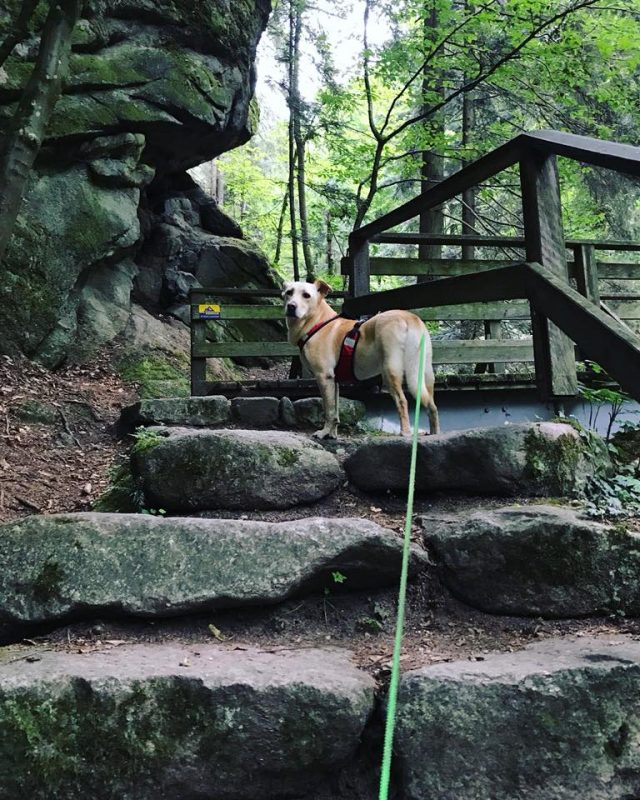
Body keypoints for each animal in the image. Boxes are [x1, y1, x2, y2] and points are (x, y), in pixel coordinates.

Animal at [284, 276, 440, 438]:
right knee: (432, 405)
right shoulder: (334, 381)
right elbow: (336, 412)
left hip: (390, 371)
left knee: (402, 401)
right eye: (289, 293)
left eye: (306, 295)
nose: (291, 306)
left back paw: (405, 432)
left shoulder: (324, 377)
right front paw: (332, 435)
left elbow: (329, 410)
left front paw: (324, 432)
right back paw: (434, 433)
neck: (317, 322)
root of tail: (409, 317)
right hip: (426, 374)